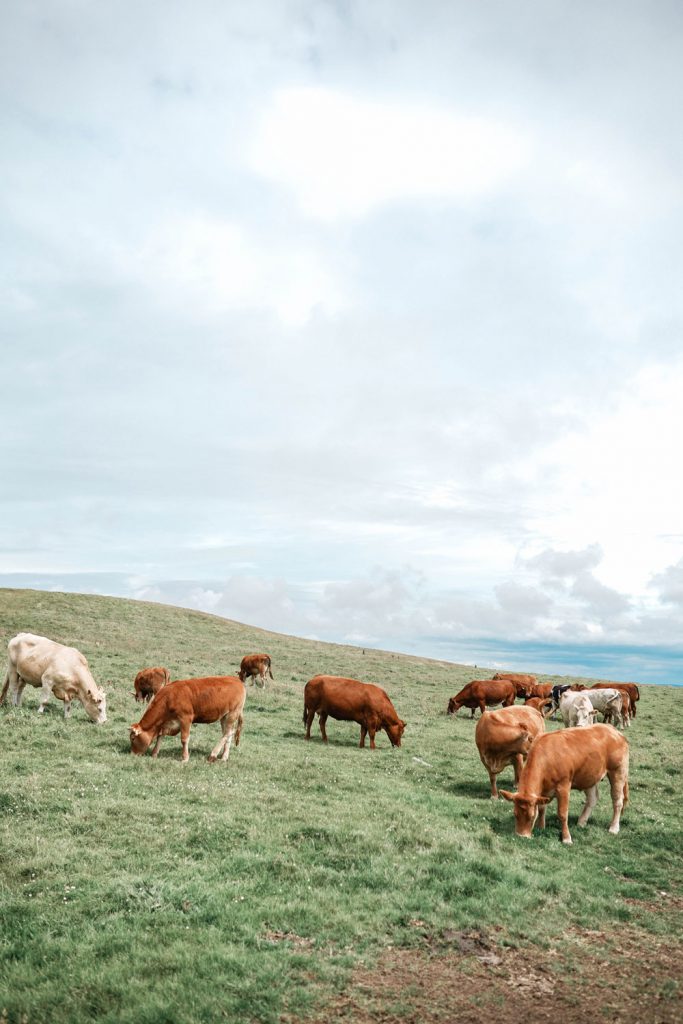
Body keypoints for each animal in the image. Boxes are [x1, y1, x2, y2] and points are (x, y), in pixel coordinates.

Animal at [501, 724, 630, 843]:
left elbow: (562, 814)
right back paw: (581, 822)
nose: (521, 836)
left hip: (618, 772)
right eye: (515, 814)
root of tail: (613, 730)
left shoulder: (563, 787)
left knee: (618, 801)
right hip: (590, 776)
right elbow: (542, 808)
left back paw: (614, 827)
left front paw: (567, 838)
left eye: (531, 816)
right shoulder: (543, 792)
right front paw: (541, 827)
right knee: (593, 798)